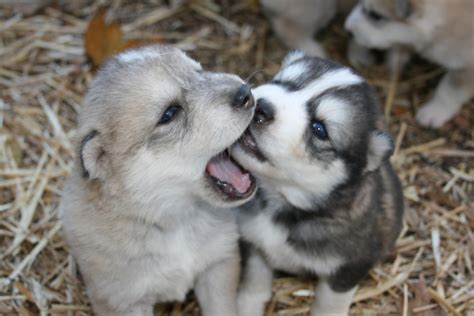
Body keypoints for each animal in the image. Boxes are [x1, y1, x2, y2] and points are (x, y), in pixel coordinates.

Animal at [233, 50, 404, 314]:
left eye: (319, 128)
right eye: (281, 82)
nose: (260, 107)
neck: (282, 201)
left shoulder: (348, 268)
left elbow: (329, 302)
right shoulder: (253, 242)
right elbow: (254, 279)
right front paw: (246, 305)